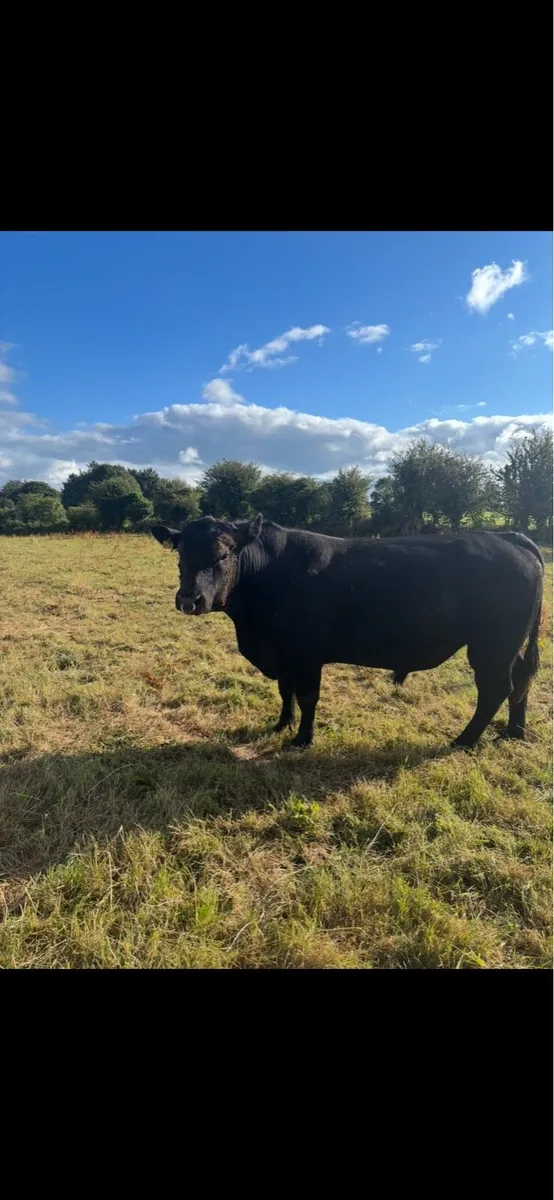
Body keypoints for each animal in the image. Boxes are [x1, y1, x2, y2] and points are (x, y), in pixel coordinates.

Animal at [152, 517, 544, 750]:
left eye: (224, 554)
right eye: (180, 553)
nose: (189, 599)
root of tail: (508, 537)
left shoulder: (306, 653)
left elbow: (308, 696)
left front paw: (302, 739)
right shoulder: (284, 653)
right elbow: (285, 691)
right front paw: (281, 724)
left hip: (491, 645)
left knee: (496, 688)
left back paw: (463, 740)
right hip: (512, 644)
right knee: (522, 679)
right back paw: (514, 731)